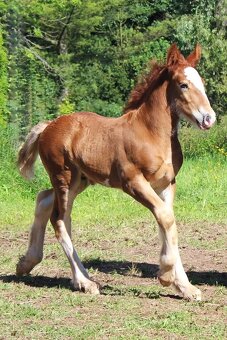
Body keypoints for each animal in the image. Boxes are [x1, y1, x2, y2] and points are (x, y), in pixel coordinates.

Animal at [16, 44, 215, 300]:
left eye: (202, 83)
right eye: (183, 85)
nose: (209, 118)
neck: (150, 133)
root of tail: (48, 125)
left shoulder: (166, 184)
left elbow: (166, 222)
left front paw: (185, 287)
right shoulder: (133, 181)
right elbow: (166, 218)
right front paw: (166, 275)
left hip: (80, 179)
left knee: (43, 200)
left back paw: (27, 263)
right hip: (64, 177)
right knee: (59, 219)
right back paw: (85, 282)